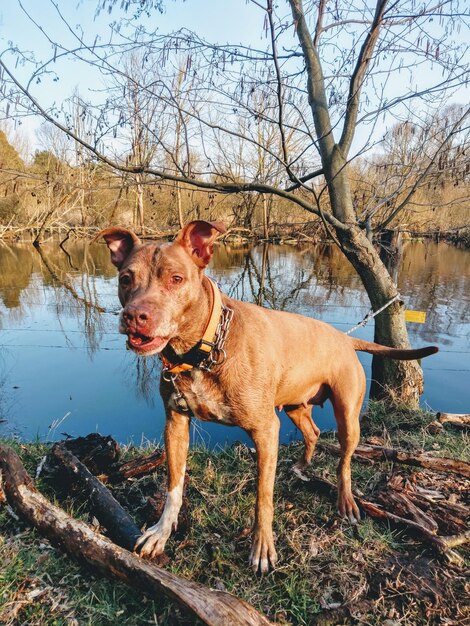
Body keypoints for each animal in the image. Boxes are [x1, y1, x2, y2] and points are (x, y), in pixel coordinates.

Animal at [97, 218, 438, 572]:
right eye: (126, 278)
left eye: (175, 278)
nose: (135, 316)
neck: (203, 350)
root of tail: (344, 338)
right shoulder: (175, 425)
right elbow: (173, 487)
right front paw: (161, 533)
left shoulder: (265, 429)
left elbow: (263, 496)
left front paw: (262, 548)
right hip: (295, 405)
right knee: (312, 432)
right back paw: (301, 465)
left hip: (347, 414)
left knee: (344, 461)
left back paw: (345, 502)